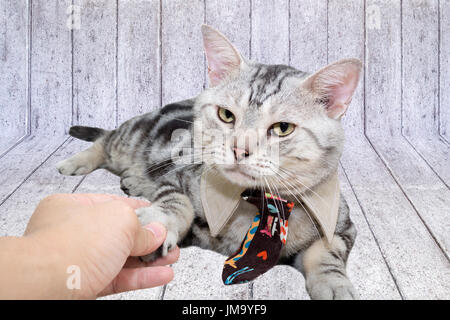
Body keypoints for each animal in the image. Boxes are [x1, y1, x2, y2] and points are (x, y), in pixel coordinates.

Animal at [58, 25, 364, 300]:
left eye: (282, 128)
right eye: (226, 115)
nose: (239, 149)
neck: (258, 203)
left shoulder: (342, 225)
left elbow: (327, 252)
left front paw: (334, 284)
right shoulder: (178, 177)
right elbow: (175, 202)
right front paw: (158, 222)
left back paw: (134, 180)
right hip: (130, 137)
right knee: (105, 140)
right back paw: (76, 163)